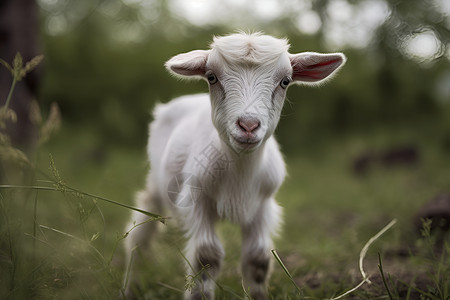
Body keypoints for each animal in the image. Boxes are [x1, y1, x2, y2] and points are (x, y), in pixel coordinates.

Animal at [123, 31, 344, 298]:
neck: (240, 174)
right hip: (157, 181)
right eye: (211, 77)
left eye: (285, 81)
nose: (248, 125)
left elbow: (258, 259)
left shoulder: (263, 205)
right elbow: (206, 256)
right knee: (140, 229)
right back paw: (129, 285)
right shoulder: (197, 199)